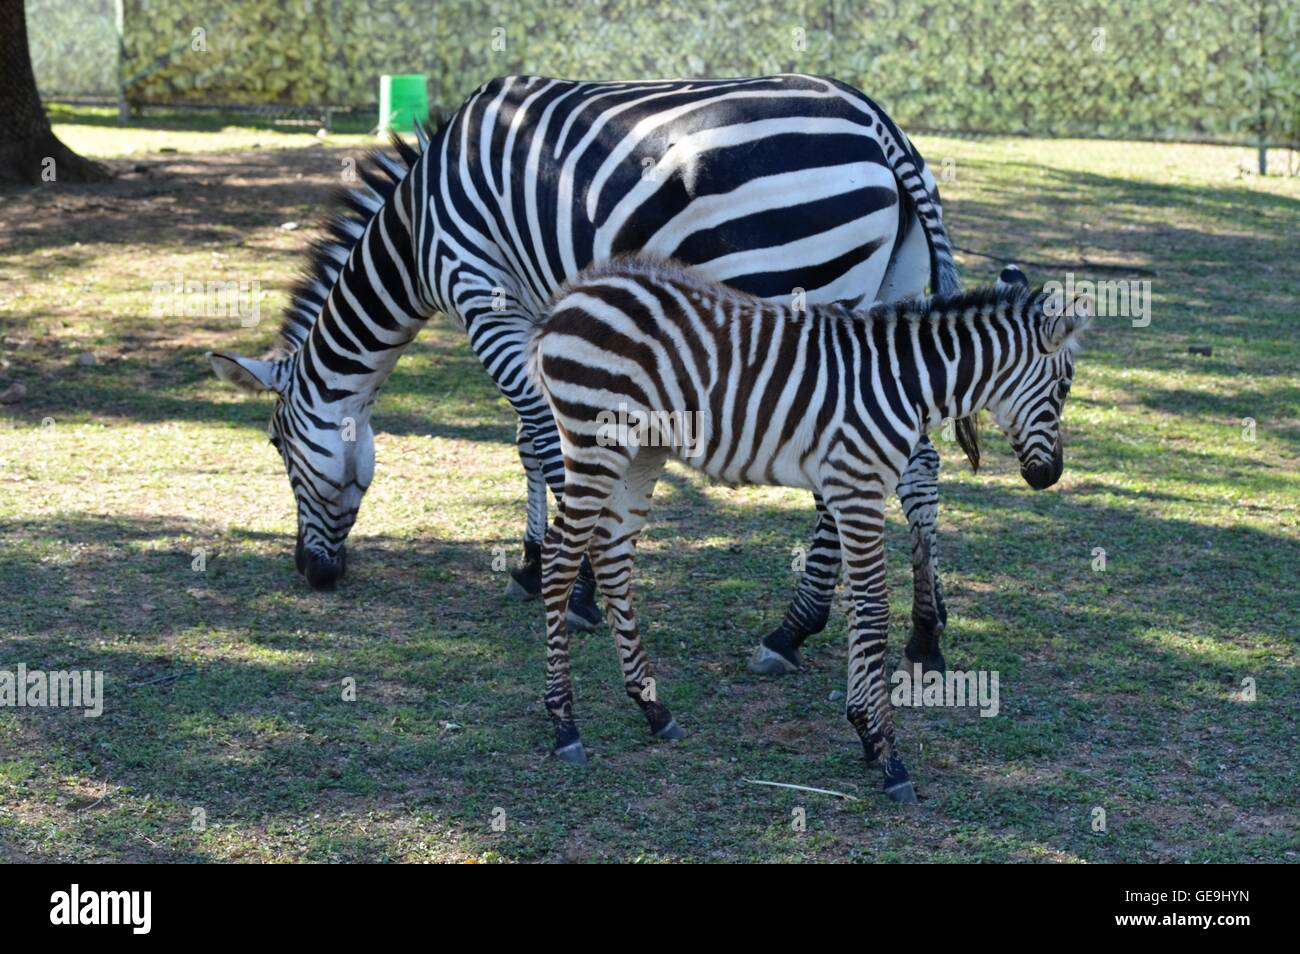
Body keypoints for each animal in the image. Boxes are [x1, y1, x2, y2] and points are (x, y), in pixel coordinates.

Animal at [206, 73, 971, 658]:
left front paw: (572, 590)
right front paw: (536, 564)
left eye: (275, 446)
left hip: (801, 290)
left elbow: (548, 445)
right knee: (920, 464)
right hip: (890, 294)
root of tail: (879, 124)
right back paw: (923, 632)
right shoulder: (538, 311)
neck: (416, 229)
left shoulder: (481, 293)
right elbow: (533, 444)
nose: (311, 573)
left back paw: (793, 629)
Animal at [530, 257, 1091, 801]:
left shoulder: (852, 491)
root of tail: (571, 296)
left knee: (611, 558)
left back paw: (652, 709)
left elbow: (860, 607)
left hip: (642, 452)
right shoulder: (857, 488)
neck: (906, 384)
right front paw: (888, 755)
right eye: (1064, 388)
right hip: (596, 441)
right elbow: (872, 610)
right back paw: (564, 724)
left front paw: (865, 733)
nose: (1050, 476)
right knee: (560, 562)